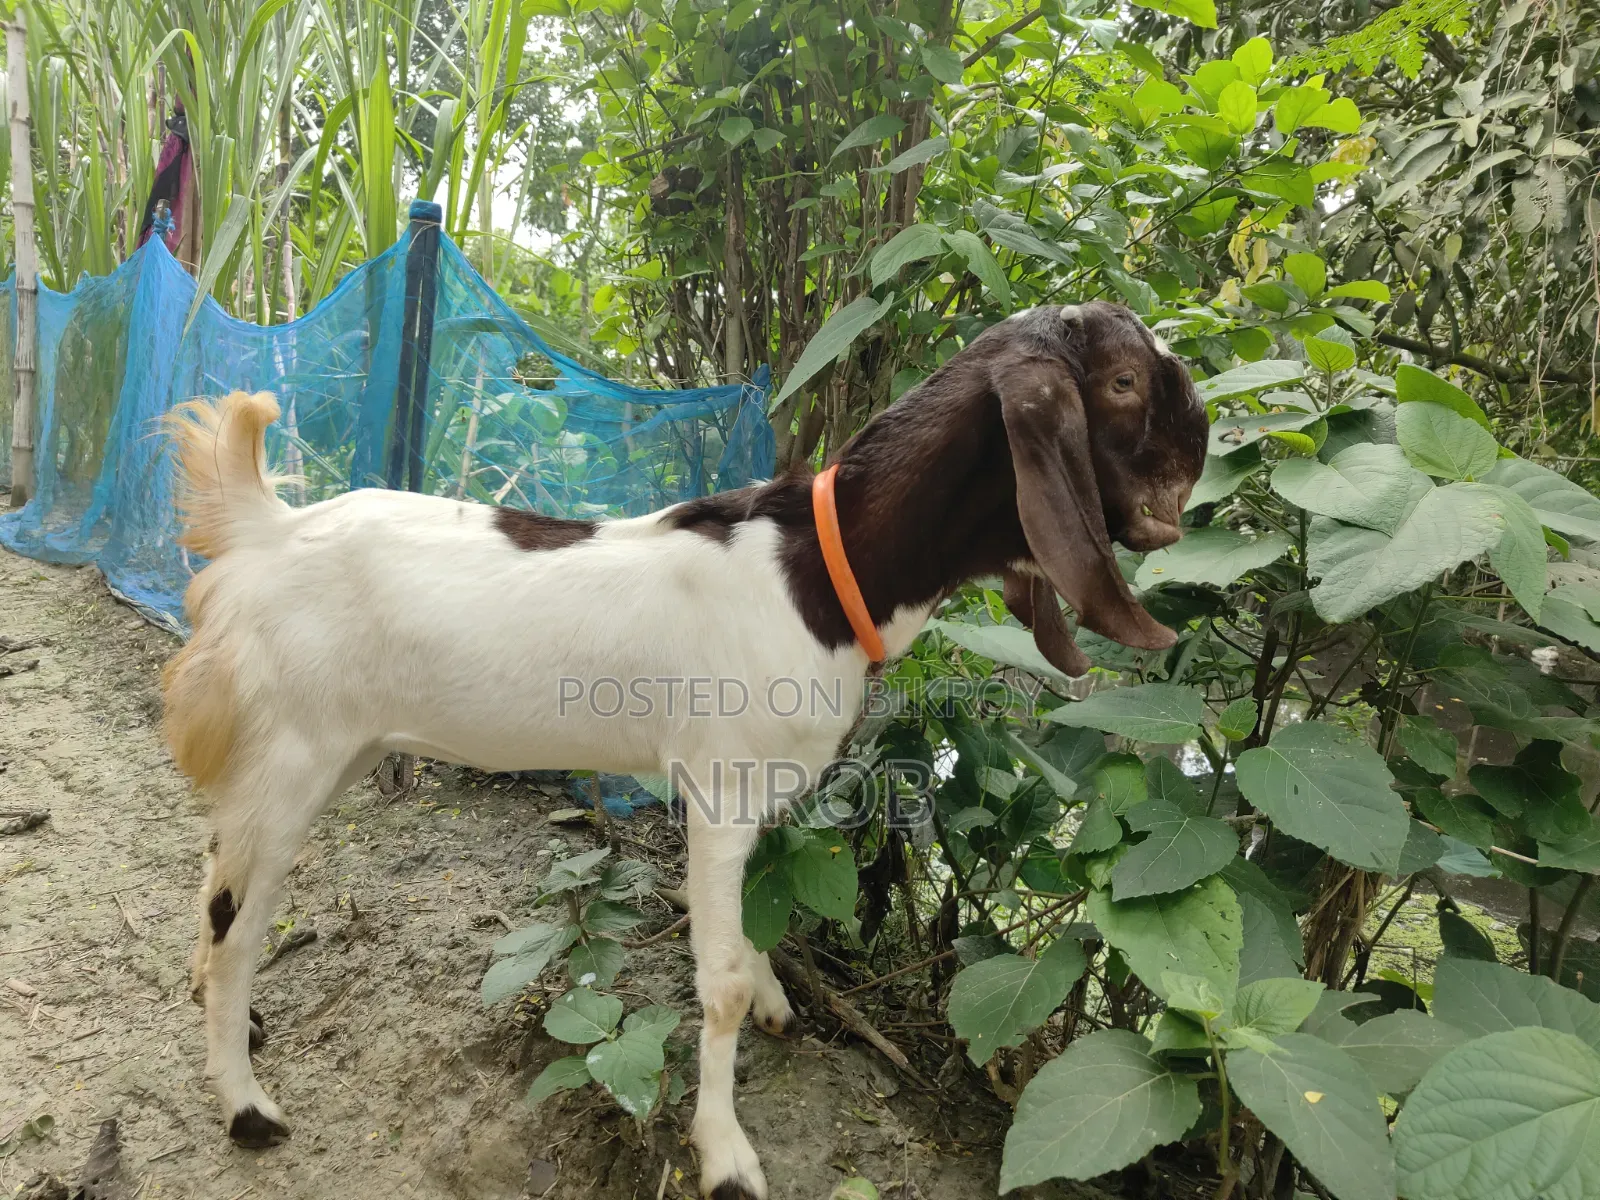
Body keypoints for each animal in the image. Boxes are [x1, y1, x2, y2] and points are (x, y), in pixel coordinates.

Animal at [163, 301, 1207, 1200]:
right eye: (1121, 381)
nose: (1202, 441)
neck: (818, 571)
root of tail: (267, 528)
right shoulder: (718, 791)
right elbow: (722, 984)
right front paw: (726, 1154)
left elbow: (753, 933)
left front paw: (779, 1003)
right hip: (296, 749)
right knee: (239, 920)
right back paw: (247, 1105)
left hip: (322, 747)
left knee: (216, 871)